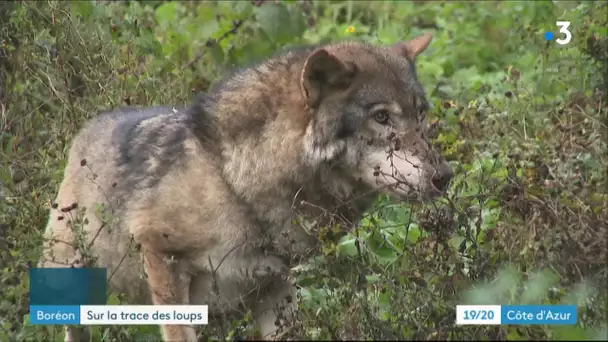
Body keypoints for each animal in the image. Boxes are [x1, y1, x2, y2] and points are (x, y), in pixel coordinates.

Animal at [38, 31, 452, 340]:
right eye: (381, 117)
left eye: (421, 114)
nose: (444, 176)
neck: (234, 182)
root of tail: (88, 127)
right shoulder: (161, 257)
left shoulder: (275, 291)